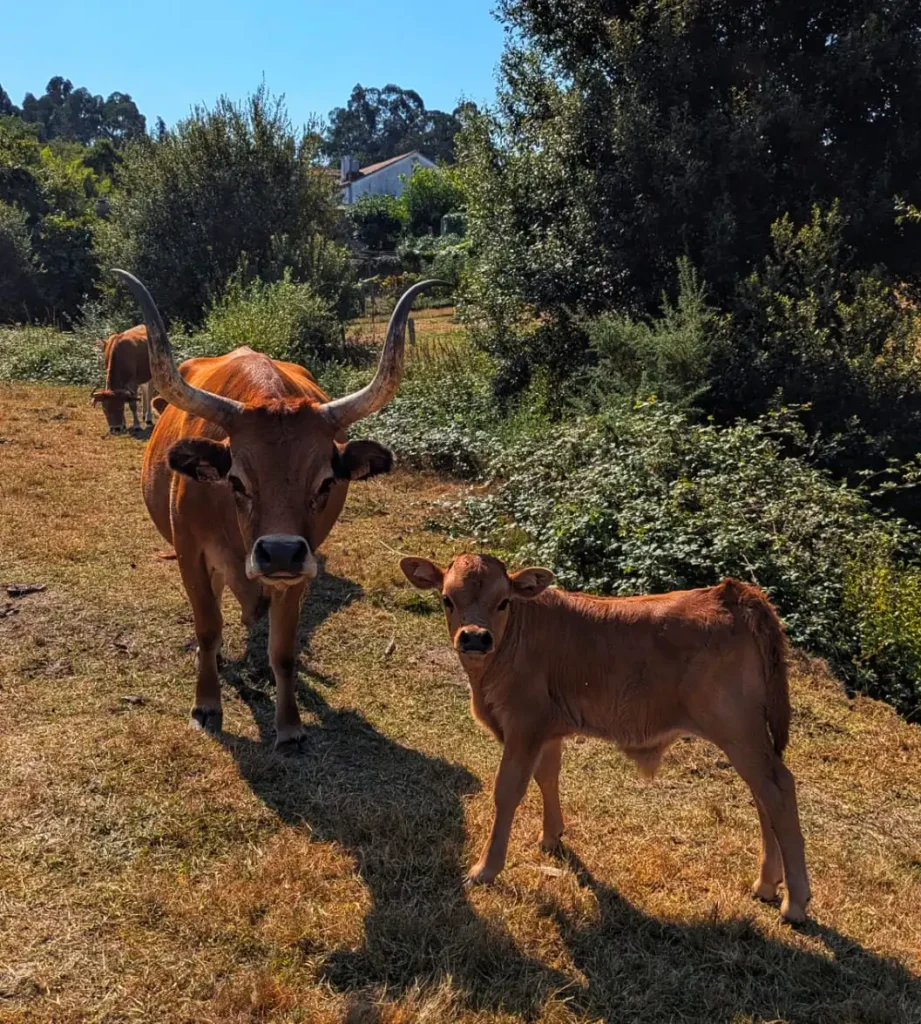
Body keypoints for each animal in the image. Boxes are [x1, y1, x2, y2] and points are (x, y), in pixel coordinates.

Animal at [113, 269, 439, 751]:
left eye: (326, 482)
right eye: (235, 481)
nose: (280, 552)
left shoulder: (301, 568)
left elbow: (283, 651)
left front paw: (290, 725)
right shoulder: (191, 554)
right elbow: (207, 627)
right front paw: (206, 705)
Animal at [400, 553, 812, 923]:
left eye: (503, 602)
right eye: (446, 599)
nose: (474, 638)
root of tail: (732, 592)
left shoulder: (523, 725)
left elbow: (507, 791)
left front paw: (485, 869)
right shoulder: (548, 730)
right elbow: (547, 776)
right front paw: (551, 837)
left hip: (737, 729)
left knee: (777, 789)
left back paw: (795, 902)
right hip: (748, 735)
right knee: (763, 795)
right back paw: (767, 884)